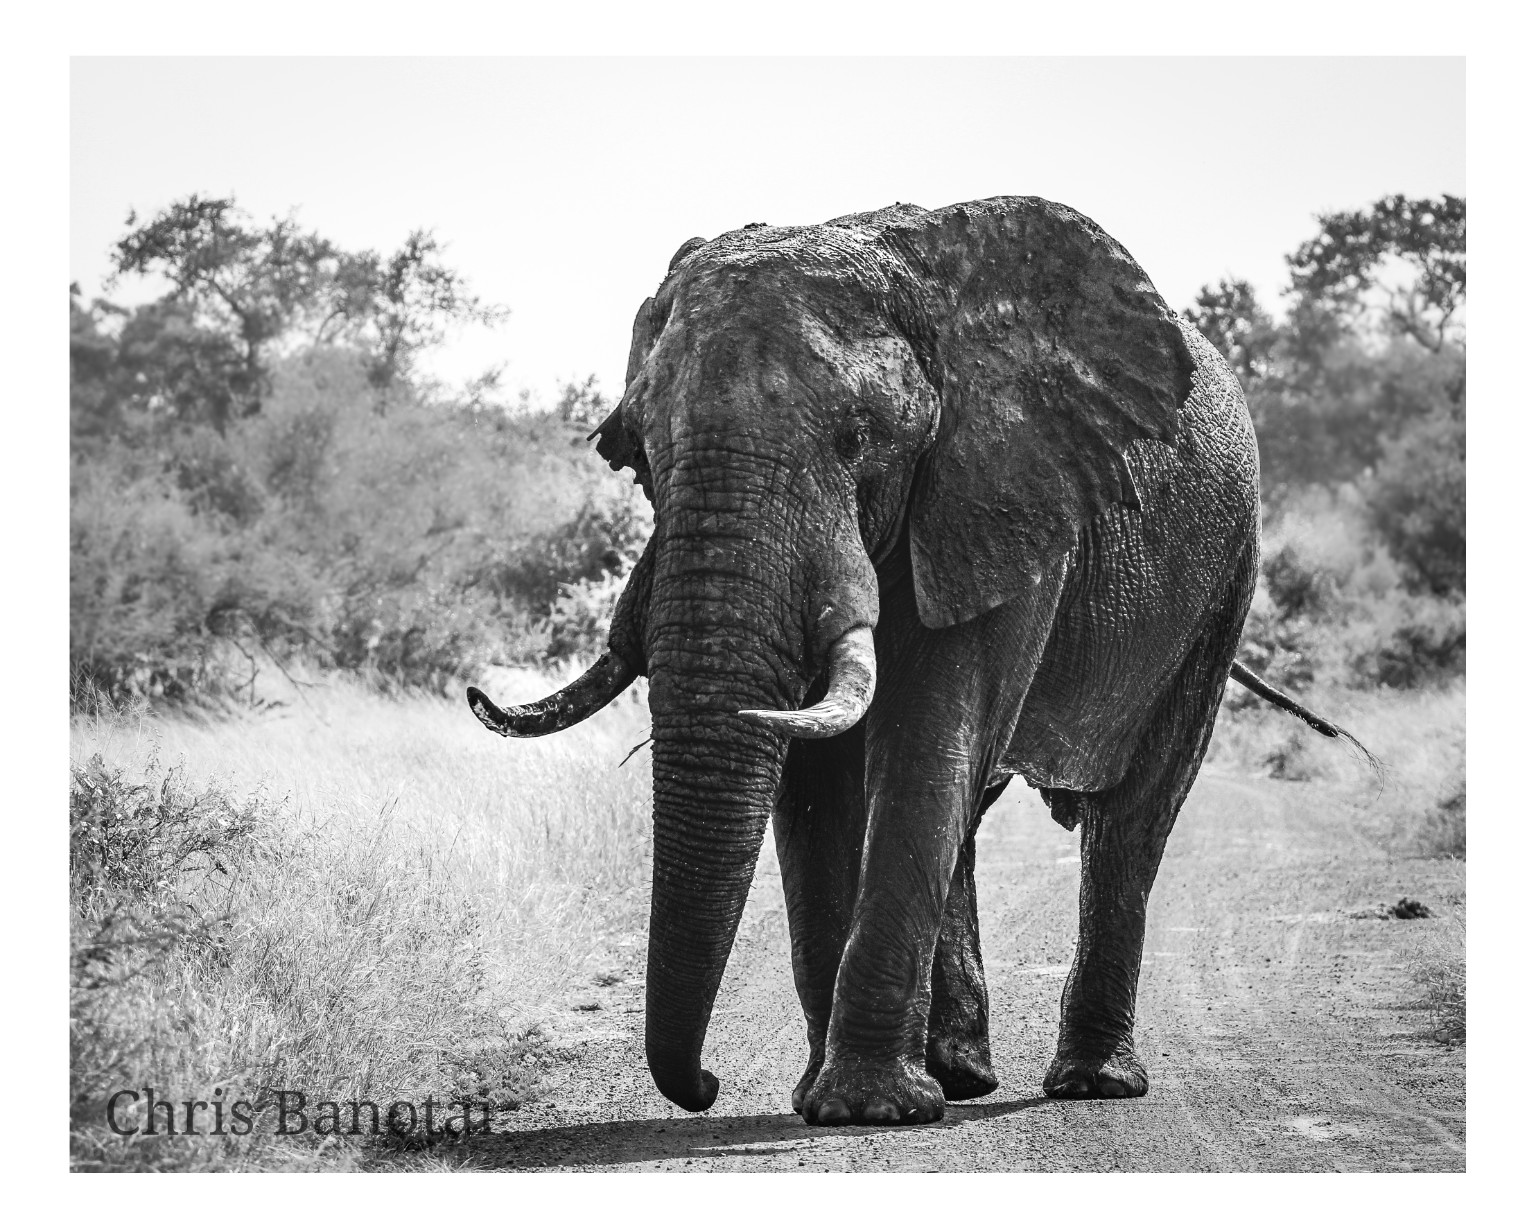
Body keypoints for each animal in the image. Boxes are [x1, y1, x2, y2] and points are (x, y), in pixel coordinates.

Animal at [466, 196, 1365, 1126]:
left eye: (856, 436)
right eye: (636, 454)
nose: (706, 1084)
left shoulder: (1005, 496)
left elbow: (930, 740)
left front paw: (865, 1108)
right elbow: (822, 785)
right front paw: (829, 1096)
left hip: (1225, 581)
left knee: (1135, 812)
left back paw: (1091, 1082)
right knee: (975, 814)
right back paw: (961, 1073)